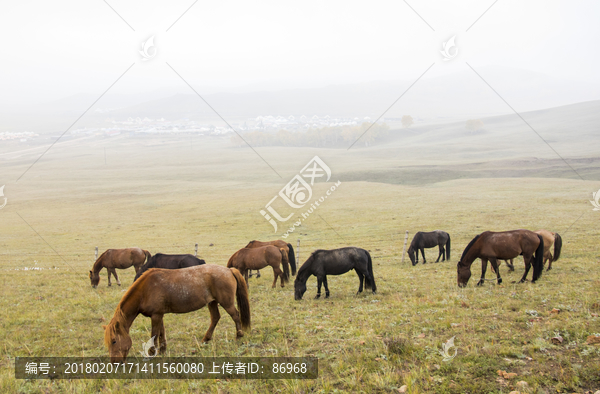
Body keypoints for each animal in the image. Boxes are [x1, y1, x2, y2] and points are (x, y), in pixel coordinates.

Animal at [104, 264, 250, 364]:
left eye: (114, 341)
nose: (115, 363)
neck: (145, 290)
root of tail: (229, 270)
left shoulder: (156, 315)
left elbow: (154, 334)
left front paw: (151, 353)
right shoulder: (159, 315)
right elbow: (161, 333)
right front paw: (162, 351)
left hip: (226, 303)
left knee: (235, 316)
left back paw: (239, 336)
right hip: (212, 302)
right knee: (215, 318)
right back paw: (205, 340)